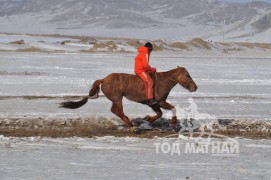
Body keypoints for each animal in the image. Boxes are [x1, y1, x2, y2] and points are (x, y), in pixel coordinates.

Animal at [60, 67, 199, 130]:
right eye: (187, 75)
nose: (195, 87)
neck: (163, 82)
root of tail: (103, 79)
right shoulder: (160, 101)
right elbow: (173, 108)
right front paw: (174, 122)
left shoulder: (153, 103)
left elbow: (159, 114)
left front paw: (147, 119)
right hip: (117, 98)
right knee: (119, 111)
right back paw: (131, 126)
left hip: (116, 99)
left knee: (114, 110)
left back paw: (131, 123)